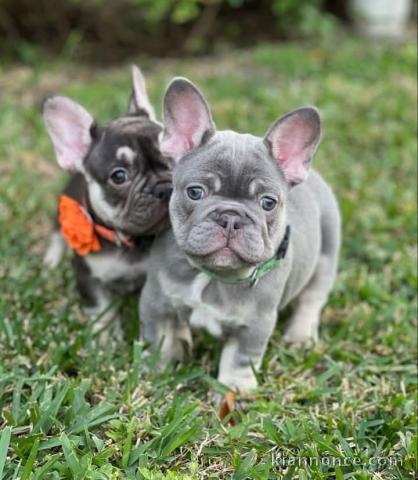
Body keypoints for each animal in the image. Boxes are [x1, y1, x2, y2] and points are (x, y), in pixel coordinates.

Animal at [42, 65, 171, 340]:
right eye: (118, 176)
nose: (165, 188)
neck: (135, 241)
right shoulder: (89, 277)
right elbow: (101, 309)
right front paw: (106, 339)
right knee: (57, 233)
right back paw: (51, 262)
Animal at [139, 79, 342, 392]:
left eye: (268, 202)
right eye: (195, 192)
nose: (230, 217)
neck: (212, 275)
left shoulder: (254, 326)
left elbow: (239, 360)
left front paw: (235, 390)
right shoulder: (156, 303)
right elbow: (160, 341)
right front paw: (156, 373)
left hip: (326, 257)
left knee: (312, 298)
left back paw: (300, 337)